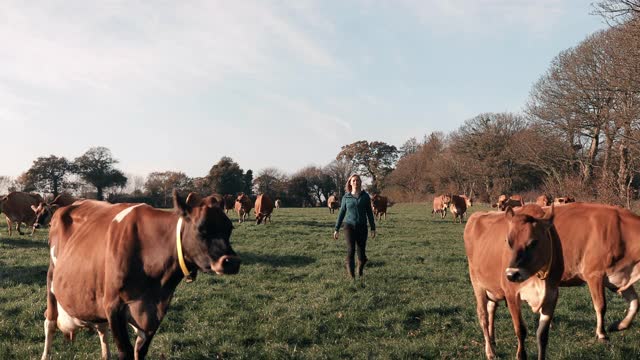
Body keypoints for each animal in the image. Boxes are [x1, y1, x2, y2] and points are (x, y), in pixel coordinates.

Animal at [40, 190, 240, 358]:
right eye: (201, 228)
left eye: (229, 228)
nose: (231, 262)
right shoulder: (113, 306)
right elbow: (126, 352)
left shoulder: (154, 312)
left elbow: (140, 351)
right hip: (52, 279)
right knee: (49, 322)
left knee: (101, 328)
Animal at [462, 205, 564, 360]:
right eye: (508, 242)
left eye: (533, 242)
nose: (511, 274)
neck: (538, 275)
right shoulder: (512, 295)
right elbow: (520, 330)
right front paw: (520, 355)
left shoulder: (552, 296)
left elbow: (542, 336)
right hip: (477, 282)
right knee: (483, 315)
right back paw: (490, 351)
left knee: (491, 308)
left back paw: (492, 339)